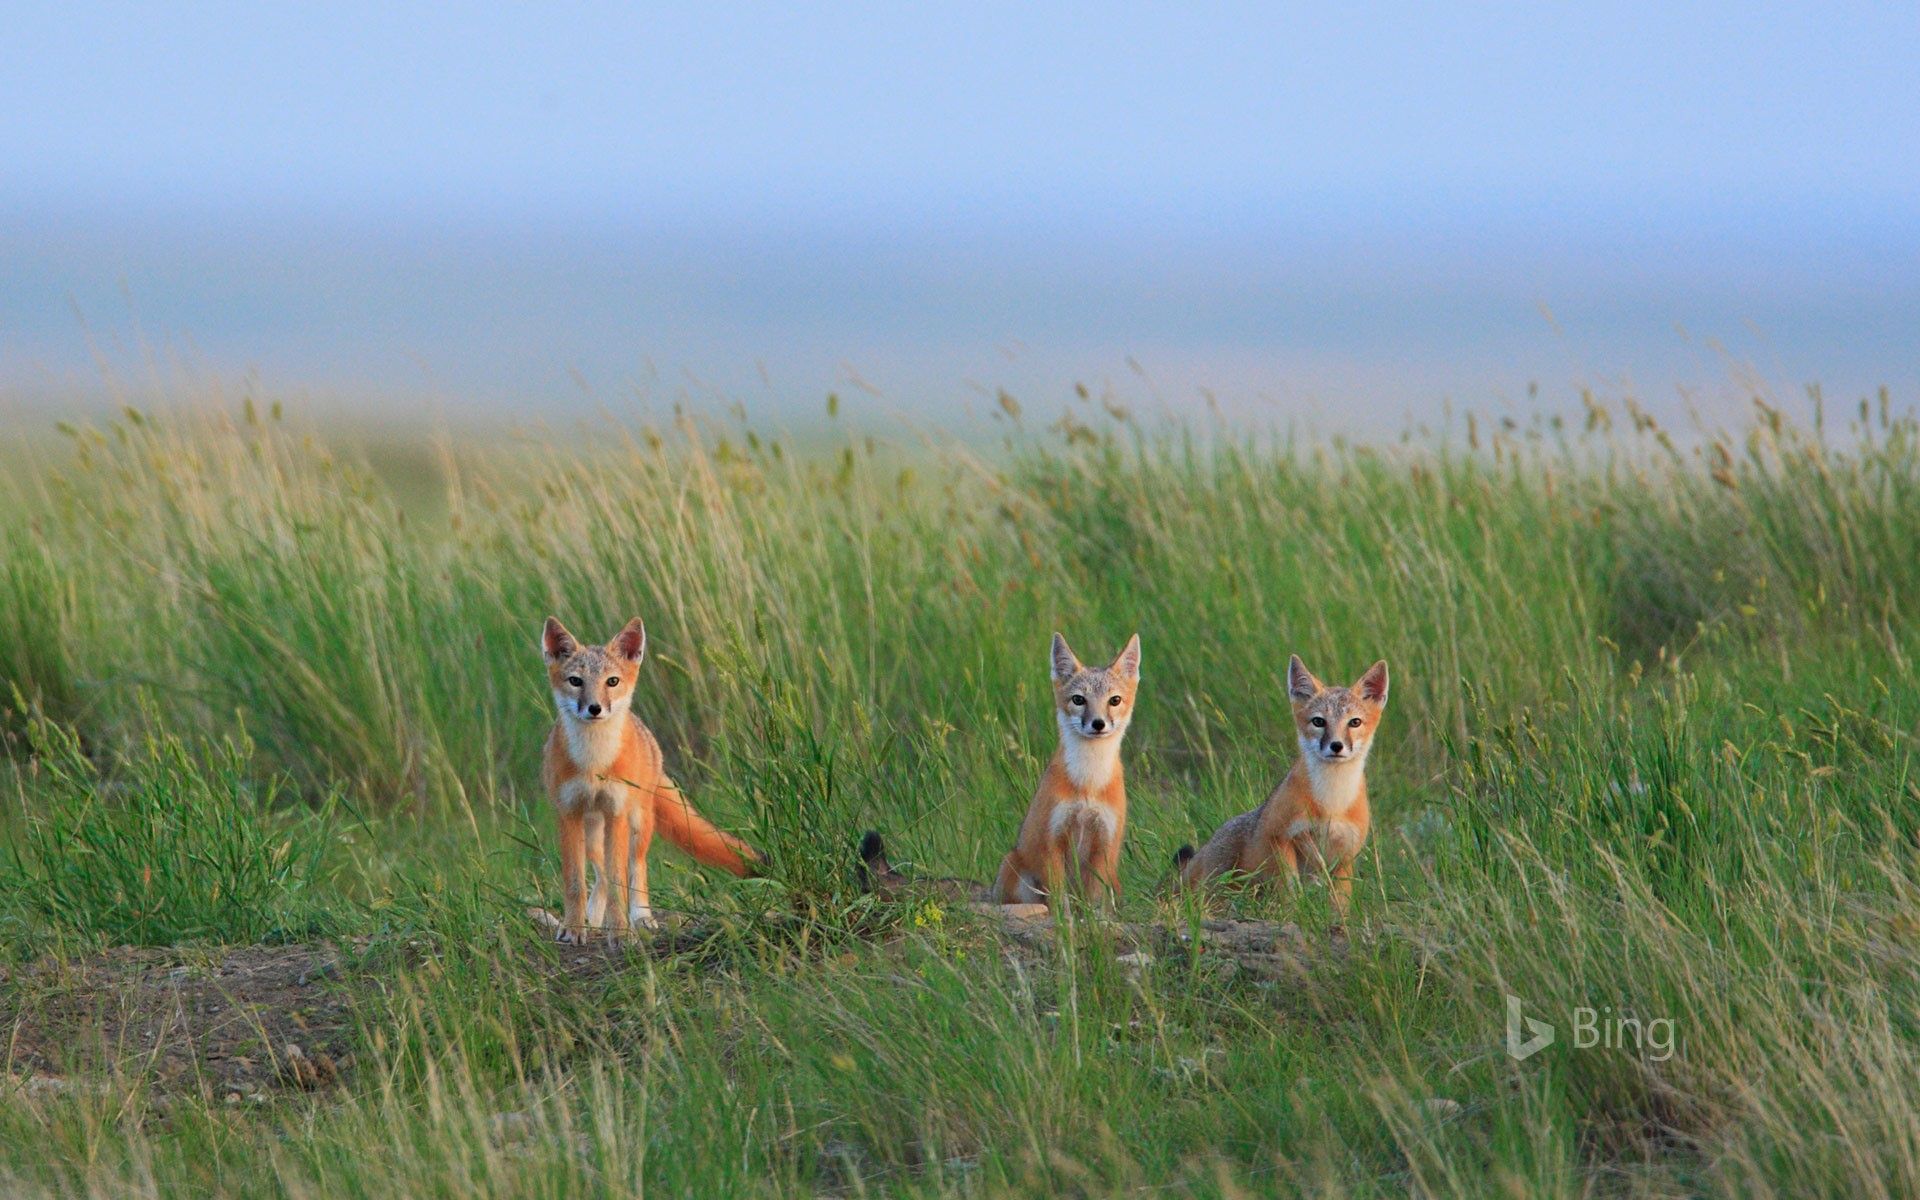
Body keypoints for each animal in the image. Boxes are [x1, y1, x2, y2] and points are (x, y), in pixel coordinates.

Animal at [541, 614, 756, 940]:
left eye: (612, 681)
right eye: (576, 681)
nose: (595, 708)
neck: (593, 762)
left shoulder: (616, 811)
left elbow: (621, 880)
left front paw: (620, 932)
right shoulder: (568, 814)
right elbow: (576, 883)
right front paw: (574, 928)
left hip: (636, 824)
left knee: (635, 870)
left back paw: (641, 917)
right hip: (593, 833)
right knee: (601, 875)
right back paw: (594, 918)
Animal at [990, 633, 1136, 902]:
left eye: (1115, 700)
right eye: (1079, 699)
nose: (1098, 723)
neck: (1089, 782)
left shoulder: (1104, 844)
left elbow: (1094, 901)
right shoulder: (1052, 841)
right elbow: (1060, 902)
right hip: (1014, 868)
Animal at [1175, 648, 1390, 913]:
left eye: (1355, 722)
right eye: (1319, 722)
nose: (1336, 746)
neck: (1331, 802)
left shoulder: (1344, 856)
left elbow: (1341, 903)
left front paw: (1340, 921)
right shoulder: (1281, 837)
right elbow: (1290, 891)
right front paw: (1295, 915)